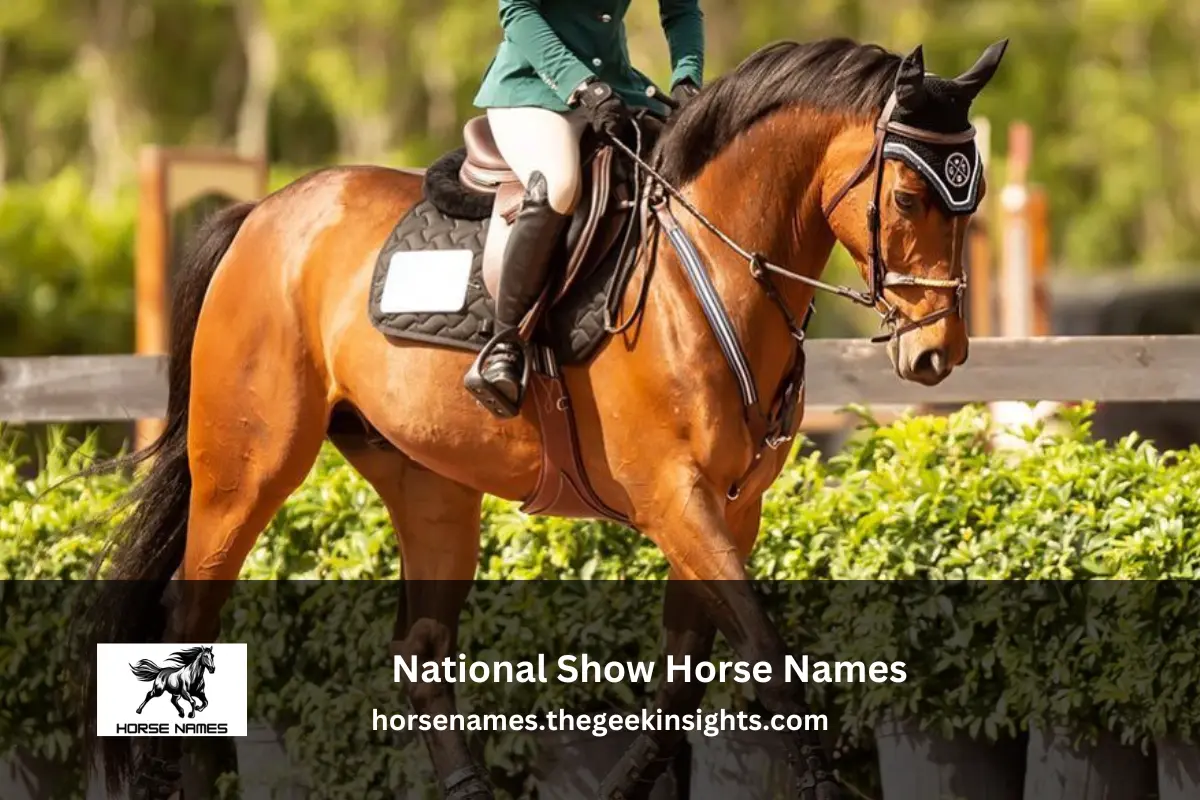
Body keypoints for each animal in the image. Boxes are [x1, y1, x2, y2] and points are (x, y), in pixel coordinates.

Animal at [87, 36, 1006, 800]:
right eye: (909, 198)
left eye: (972, 201)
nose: (938, 354)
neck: (709, 270)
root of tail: (266, 213)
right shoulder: (676, 499)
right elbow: (768, 656)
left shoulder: (729, 509)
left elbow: (683, 683)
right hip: (248, 470)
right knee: (192, 618)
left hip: (430, 486)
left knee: (420, 649)